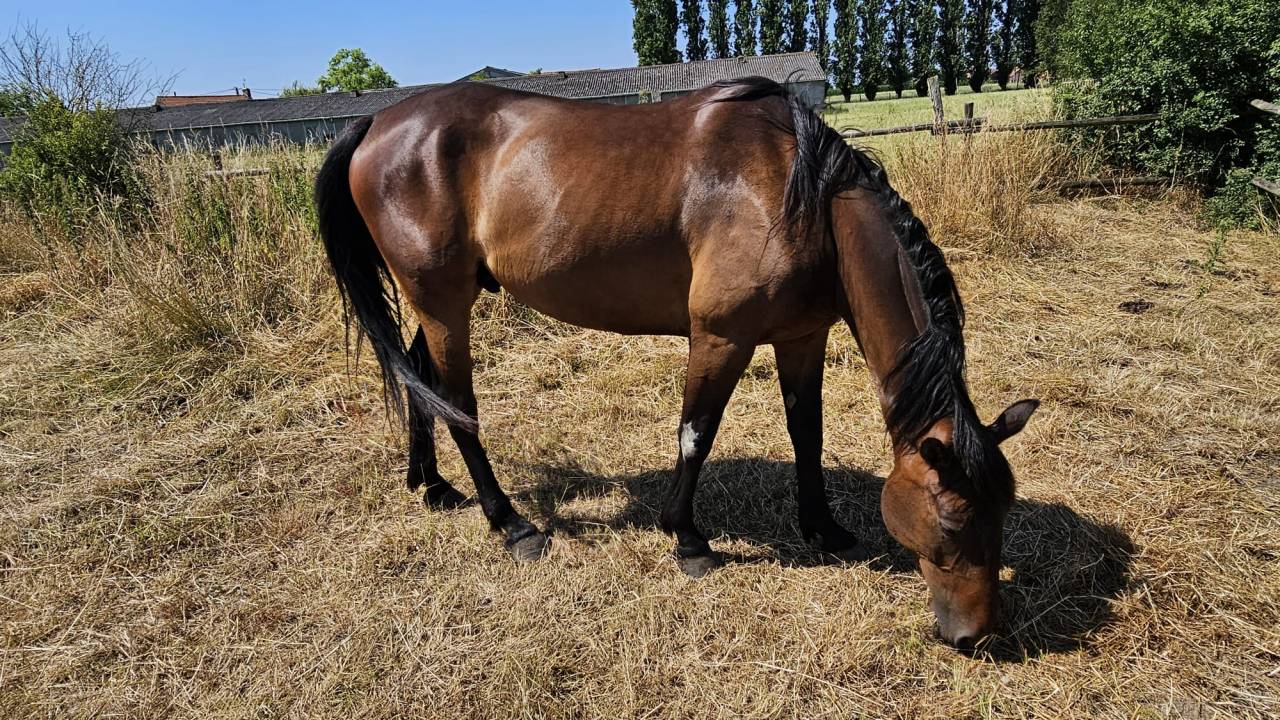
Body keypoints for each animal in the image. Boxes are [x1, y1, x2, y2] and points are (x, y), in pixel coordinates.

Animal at [314, 77, 1038, 649]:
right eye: (953, 524)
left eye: (1003, 514)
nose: (976, 636)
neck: (800, 194)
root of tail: (381, 121)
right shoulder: (719, 337)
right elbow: (696, 433)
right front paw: (687, 540)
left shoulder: (800, 337)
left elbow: (807, 434)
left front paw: (822, 526)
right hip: (443, 303)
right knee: (458, 404)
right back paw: (511, 524)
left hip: (437, 304)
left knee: (420, 379)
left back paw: (432, 485)